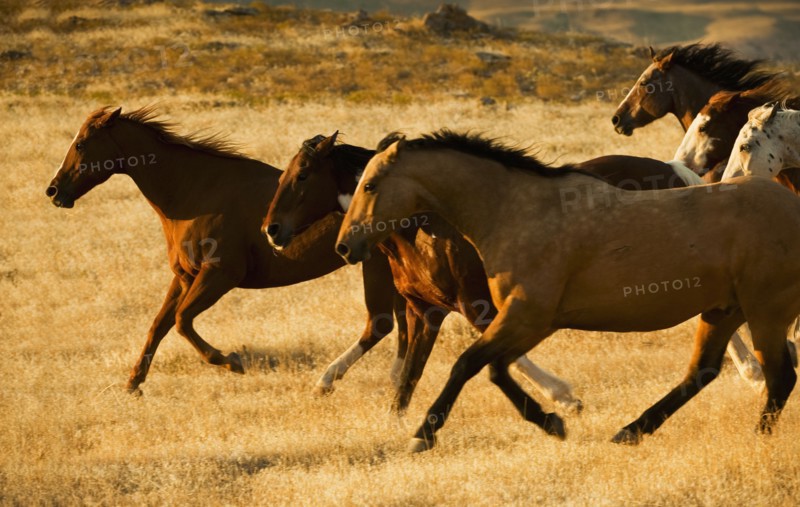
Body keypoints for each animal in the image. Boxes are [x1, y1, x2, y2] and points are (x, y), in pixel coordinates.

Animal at [46, 106, 407, 395]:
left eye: (81, 143)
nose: (53, 190)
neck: (193, 192)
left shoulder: (220, 275)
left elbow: (182, 321)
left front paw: (231, 361)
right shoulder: (185, 276)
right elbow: (159, 324)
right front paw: (134, 383)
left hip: (377, 266)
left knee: (381, 324)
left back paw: (332, 381)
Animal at [336, 130, 800, 453]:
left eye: (370, 186)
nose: (344, 246)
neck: (515, 211)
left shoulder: (528, 316)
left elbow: (468, 365)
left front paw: (422, 435)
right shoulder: (529, 321)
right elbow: (495, 369)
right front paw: (553, 421)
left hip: (765, 311)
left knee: (780, 378)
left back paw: (757, 437)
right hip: (723, 310)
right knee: (701, 373)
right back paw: (630, 431)